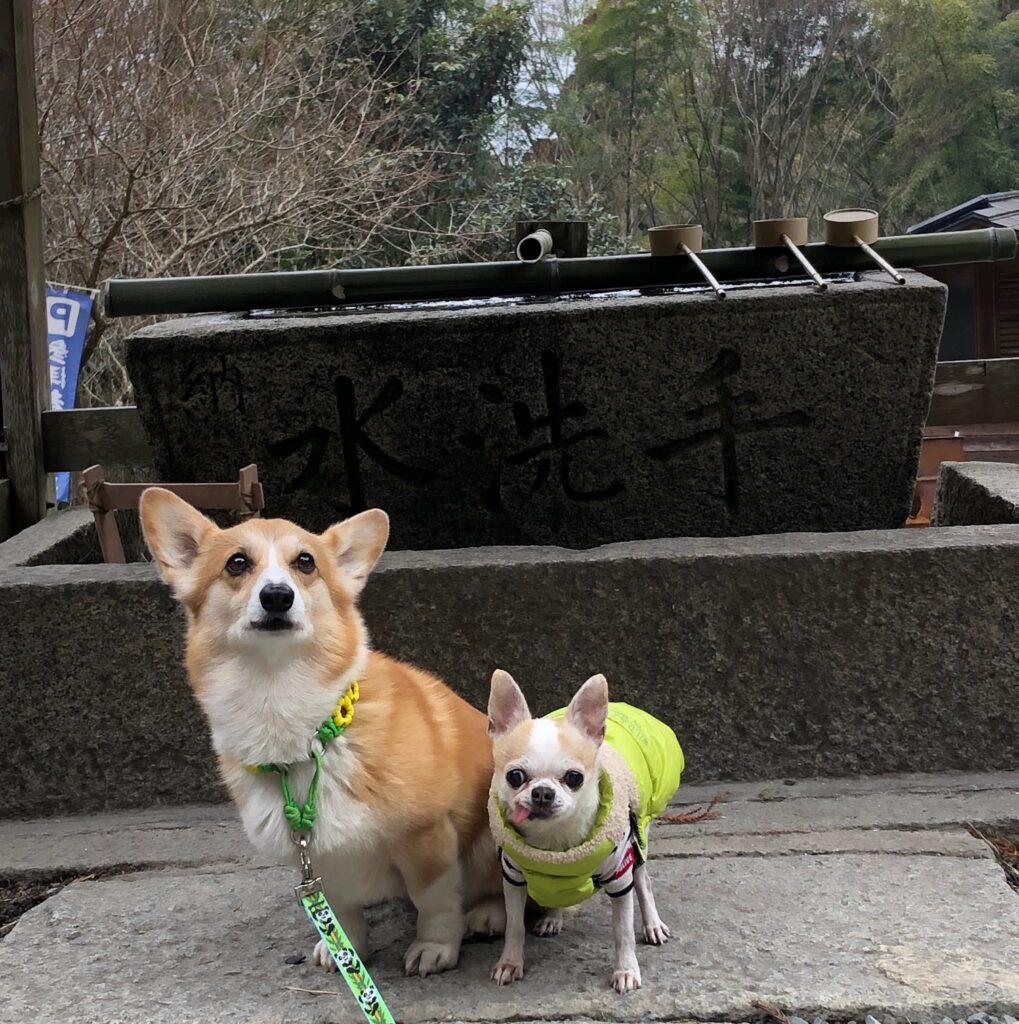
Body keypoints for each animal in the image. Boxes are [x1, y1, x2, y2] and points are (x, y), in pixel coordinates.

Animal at [139, 491, 505, 978]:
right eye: (237, 563)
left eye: (305, 562)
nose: (277, 596)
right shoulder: (315, 858)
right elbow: (342, 911)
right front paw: (345, 951)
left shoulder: (427, 837)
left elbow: (434, 900)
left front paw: (435, 948)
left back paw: (490, 915)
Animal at [485, 671, 684, 991]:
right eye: (515, 776)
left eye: (574, 778)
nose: (542, 792)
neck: (556, 843)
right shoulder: (513, 877)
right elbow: (514, 927)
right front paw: (510, 963)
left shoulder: (620, 877)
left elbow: (622, 933)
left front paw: (626, 970)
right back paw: (553, 917)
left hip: (638, 839)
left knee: (644, 882)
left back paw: (652, 924)